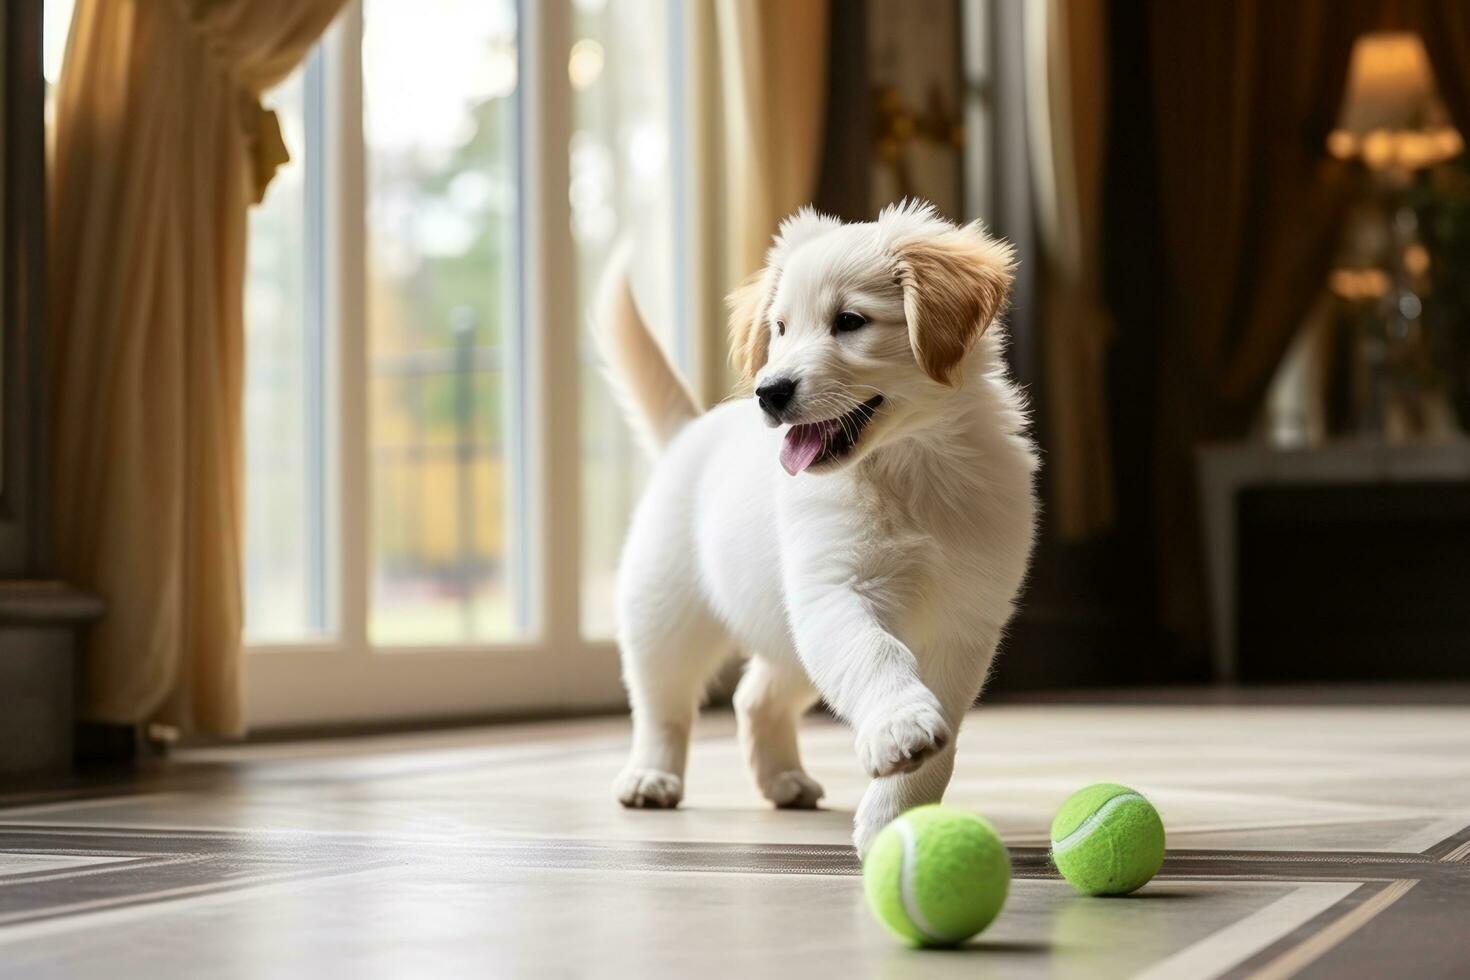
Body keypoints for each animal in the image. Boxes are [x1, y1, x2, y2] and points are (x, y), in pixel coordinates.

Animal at [593, 202, 1034, 852]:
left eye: (849, 321)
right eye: (779, 328)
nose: (768, 392)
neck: (909, 464)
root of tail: (687, 433)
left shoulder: (964, 621)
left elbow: (943, 738)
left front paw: (894, 815)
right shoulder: (835, 590)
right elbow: (876, 652)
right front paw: (900, 725)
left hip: (788, 634)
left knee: (756, 697)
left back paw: (783, 780)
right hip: (666, 611)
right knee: (661, 701)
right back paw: (651, 776)